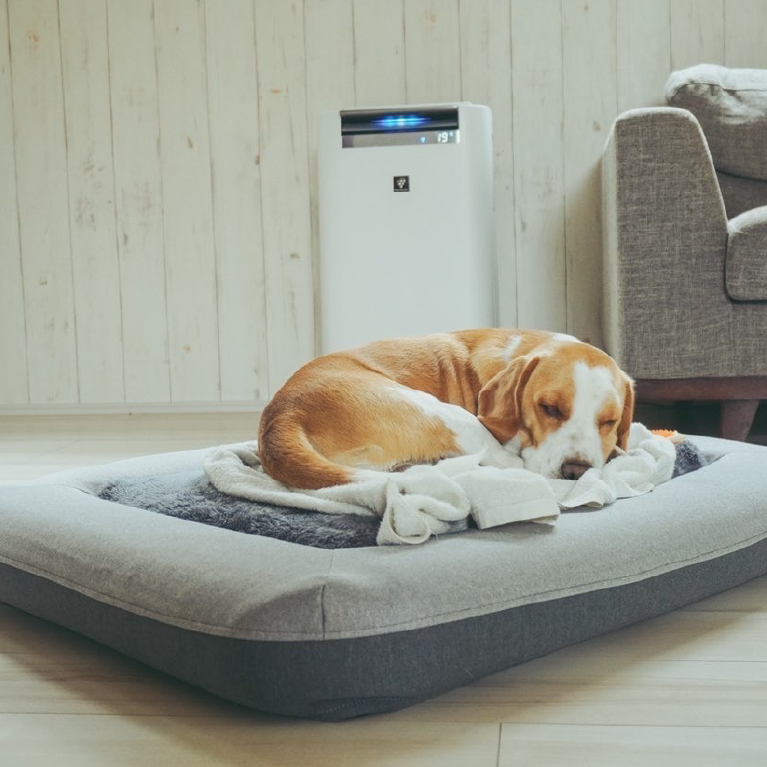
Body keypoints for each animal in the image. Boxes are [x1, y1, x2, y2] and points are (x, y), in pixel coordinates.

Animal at [258, 328, 636, 488]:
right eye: (549, 408)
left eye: (609, 421)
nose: (576, 471)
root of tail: (281, 415)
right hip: (445, 414)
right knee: (507, 464)